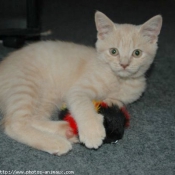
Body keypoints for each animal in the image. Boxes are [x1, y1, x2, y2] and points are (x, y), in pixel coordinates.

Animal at [0, 11, 162, 155]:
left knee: (34, 118)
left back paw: (65, 130)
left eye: (137, 53)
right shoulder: (77, 90)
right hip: (26, 84)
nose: (124, 64)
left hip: (47, 96)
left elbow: (115, 101)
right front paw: (92, 131)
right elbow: (83, 105)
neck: (118, 80)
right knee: (14, 123)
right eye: (114, 51)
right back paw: (56, 142)